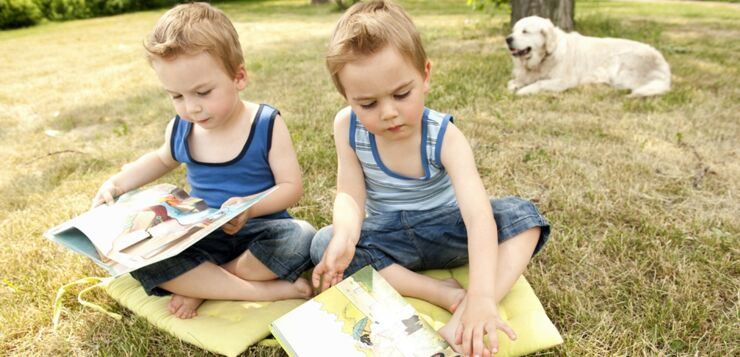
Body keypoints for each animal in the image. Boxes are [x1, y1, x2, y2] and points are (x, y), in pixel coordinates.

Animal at [502, 16, 672, 96]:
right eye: (513, 30)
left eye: (525, 31)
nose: (507, 39)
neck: (545, 56)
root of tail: (663, 63)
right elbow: (511, 83)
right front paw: (515, 86)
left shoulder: (564, 80)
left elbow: (540, 83)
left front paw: (523, 91)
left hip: (621, 64)